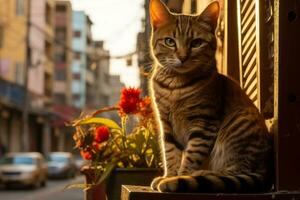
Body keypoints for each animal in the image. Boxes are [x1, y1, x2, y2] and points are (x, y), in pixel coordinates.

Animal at [149, 0, 274, 194]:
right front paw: (169, 175)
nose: (182, 57)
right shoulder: (166, 124)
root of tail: (266, 170)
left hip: (238, 125)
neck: (175, 87)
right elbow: (170, 153)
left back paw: (199, 175)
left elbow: (191, 156)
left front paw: (178, 178)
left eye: (196, 43)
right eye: (170, 42)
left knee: (231, 173)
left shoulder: (203, 123)